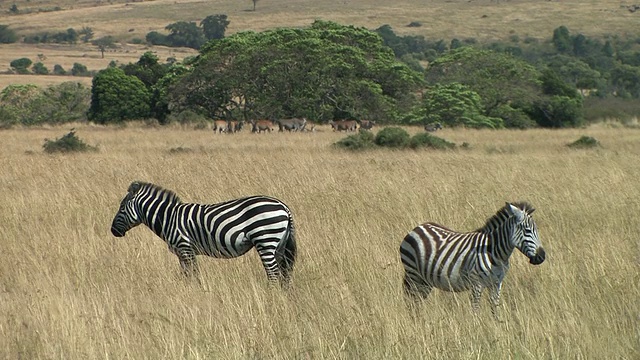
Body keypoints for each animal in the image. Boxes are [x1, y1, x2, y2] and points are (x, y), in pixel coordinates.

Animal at [110, 181, 298, 286]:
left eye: (121, 207)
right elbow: (186, 275)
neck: (168, 218)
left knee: (273, 274)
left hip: (265, 239)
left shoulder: (185, 248)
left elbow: (193, 274)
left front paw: (195, 292)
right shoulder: (182, 253)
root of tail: (284, 206)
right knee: (284, 274)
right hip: (279, 245)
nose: (112, 231)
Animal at [400, 201, 544, 320]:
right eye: (527, 230)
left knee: (418, 301)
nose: (542, 257)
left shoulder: (497, 283)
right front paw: (477, 329)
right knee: (412, 301)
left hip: (425, 280)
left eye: (536, 230)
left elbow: (494, 308)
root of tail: (417, 227)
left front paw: (497, 327)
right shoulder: (476, 284)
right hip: (413, 275)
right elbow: (475, 309)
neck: (496, 253)